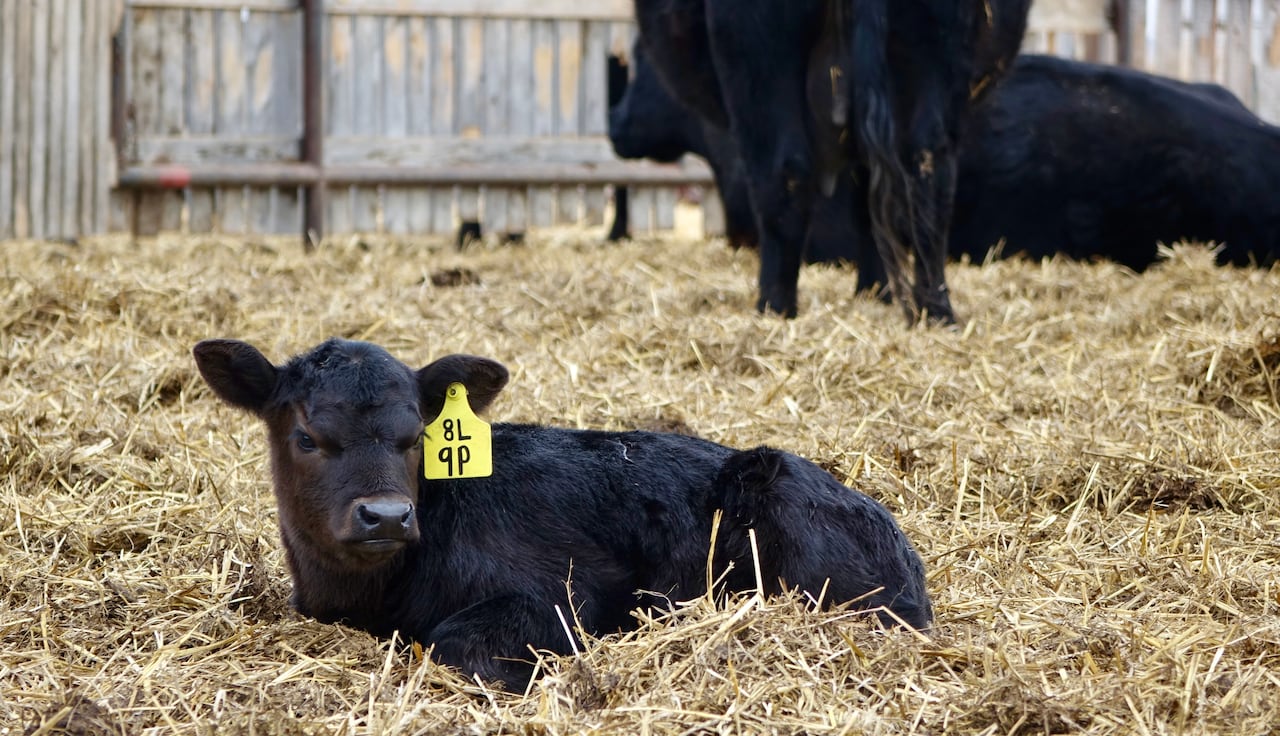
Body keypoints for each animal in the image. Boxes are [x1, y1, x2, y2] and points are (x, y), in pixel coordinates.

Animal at [634, 0, 1033, 321]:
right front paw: (878, 293)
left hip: (759, 67)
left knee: (782, 177)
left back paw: (773, 309)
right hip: (933, 66)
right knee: (928, 173)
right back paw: (936, 312)